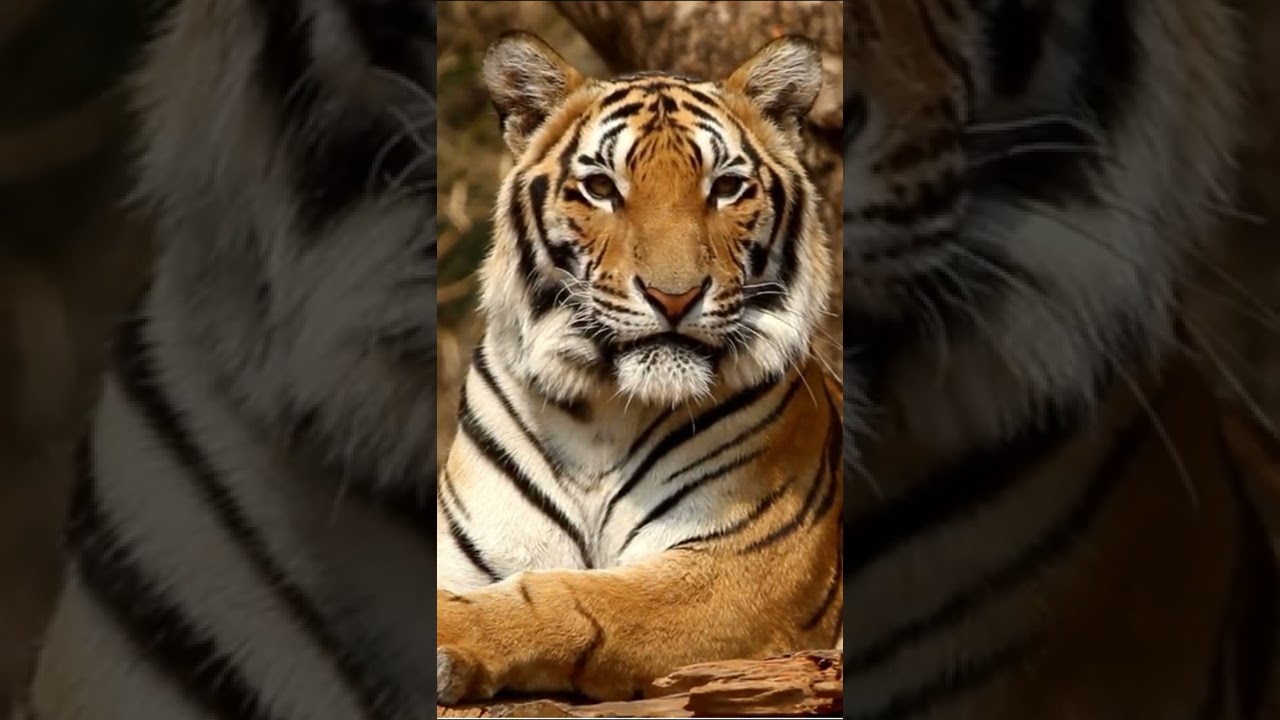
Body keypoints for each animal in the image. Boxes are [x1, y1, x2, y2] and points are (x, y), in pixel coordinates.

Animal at [434, 32, 843, 705]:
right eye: (601, 188)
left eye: (727, 187)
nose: (674, 297)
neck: (603, 411)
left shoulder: (737, 569)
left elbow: (571, 595)